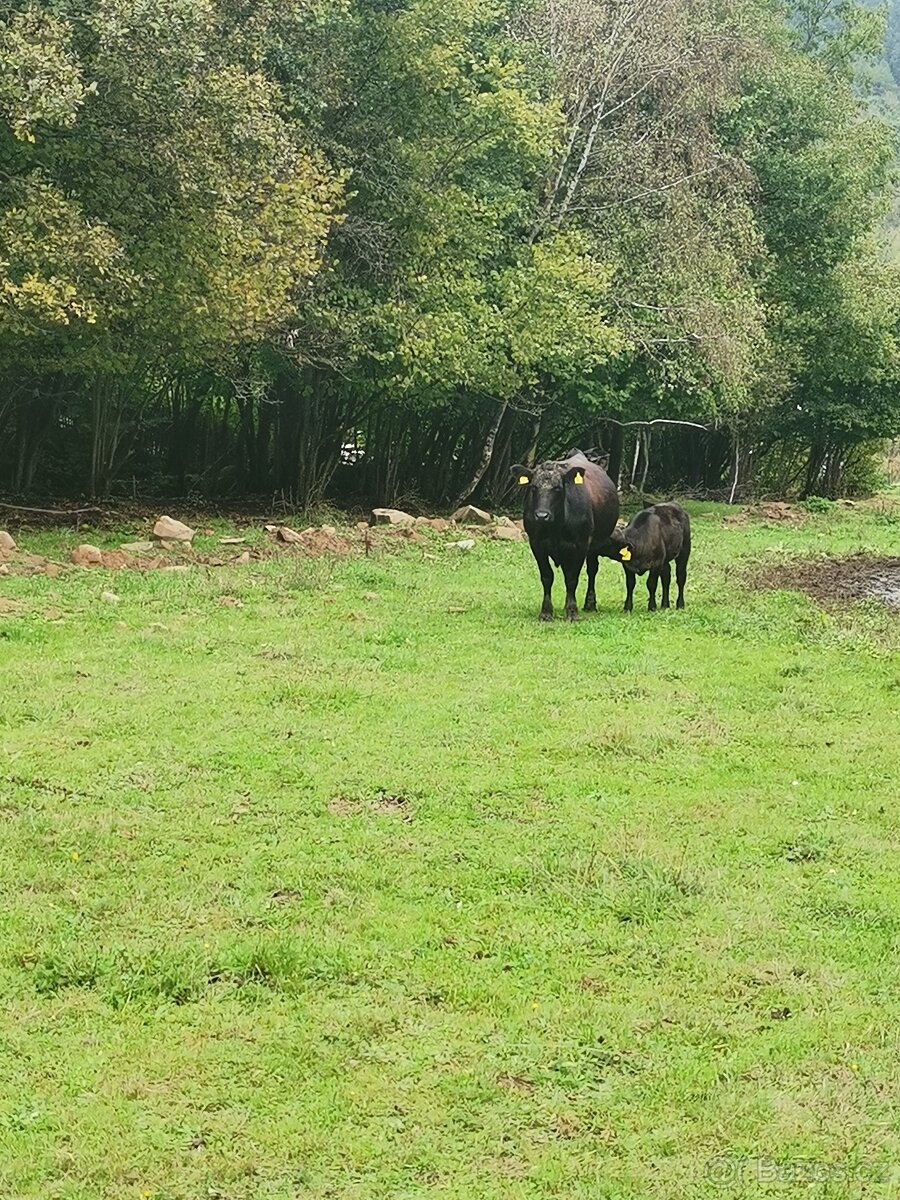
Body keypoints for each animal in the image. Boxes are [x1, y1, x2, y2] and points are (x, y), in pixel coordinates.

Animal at [513, 448, 619, 624]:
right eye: (533, 487)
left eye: (557, 488)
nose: (541, 515)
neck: (556, 527)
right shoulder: (536, 543)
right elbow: (547, 576)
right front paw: (546, 612)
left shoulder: (580, 544)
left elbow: (572, 578)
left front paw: (572, 612)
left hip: (594, 546)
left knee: (592, 570)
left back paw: (590, 604)